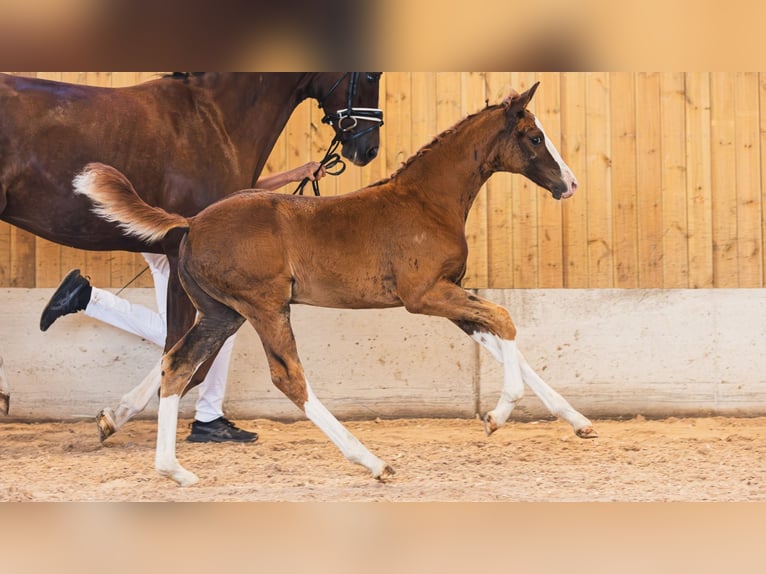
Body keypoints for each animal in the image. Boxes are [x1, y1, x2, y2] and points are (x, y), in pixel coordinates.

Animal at [74, 81, 596, 486]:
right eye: (534, 137)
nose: (570, 184)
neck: (427, 202)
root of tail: (191, 222)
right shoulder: (424, 296)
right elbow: (505, 322)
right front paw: (498, 415)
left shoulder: (449, 294)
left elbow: (505, 341)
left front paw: (579, 423)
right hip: (264, 307)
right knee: (287, 377)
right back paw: (373, 462)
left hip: (222, 313)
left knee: (178, 363)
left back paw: (172, 469)